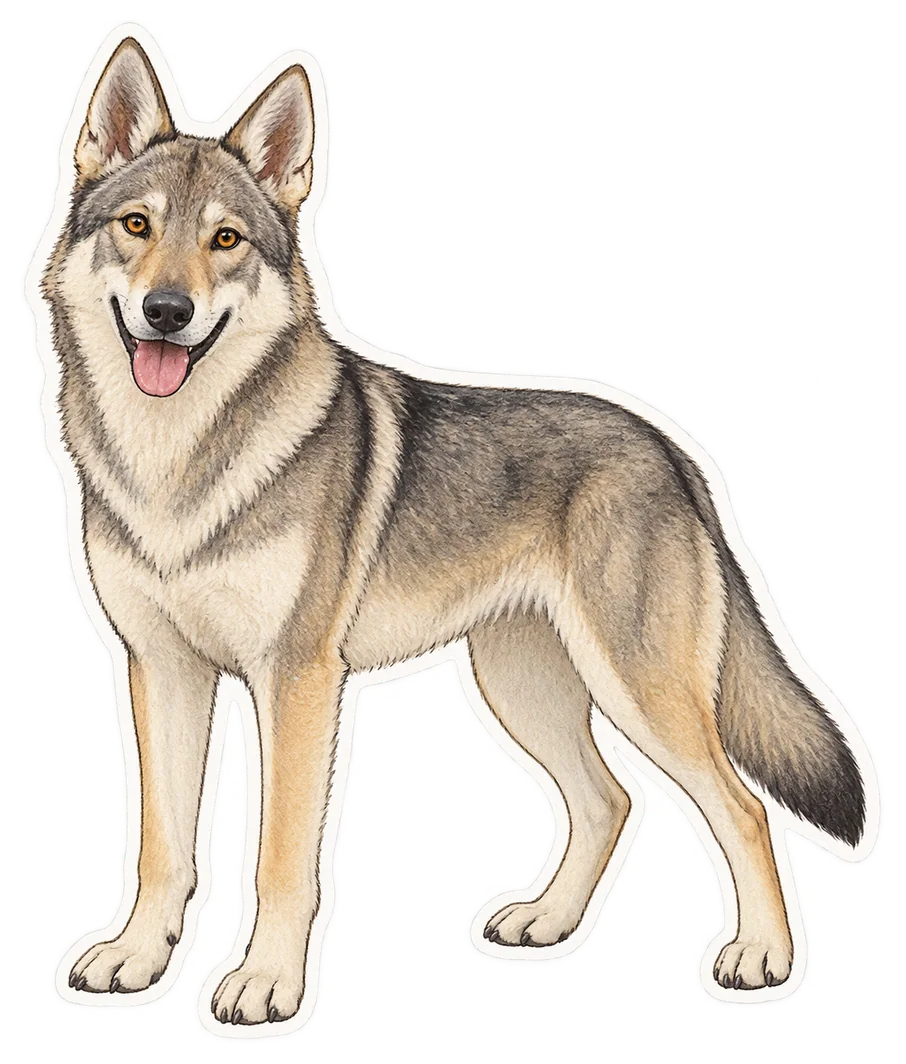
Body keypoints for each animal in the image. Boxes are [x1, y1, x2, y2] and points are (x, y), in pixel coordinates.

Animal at [41, 38, 866, 1025]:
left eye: (225, 241)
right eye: (136, 226)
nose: (167, 311)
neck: (176, 461)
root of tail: (673, 448)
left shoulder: (296, 681)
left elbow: (279, 858)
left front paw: (267, 983)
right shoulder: (161, 670)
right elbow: (163, 845)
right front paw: (136, 959)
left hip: (638, 690)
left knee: (738, 807)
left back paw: (762, 960)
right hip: (523, 685)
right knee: (611, 801)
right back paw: (546, 925)